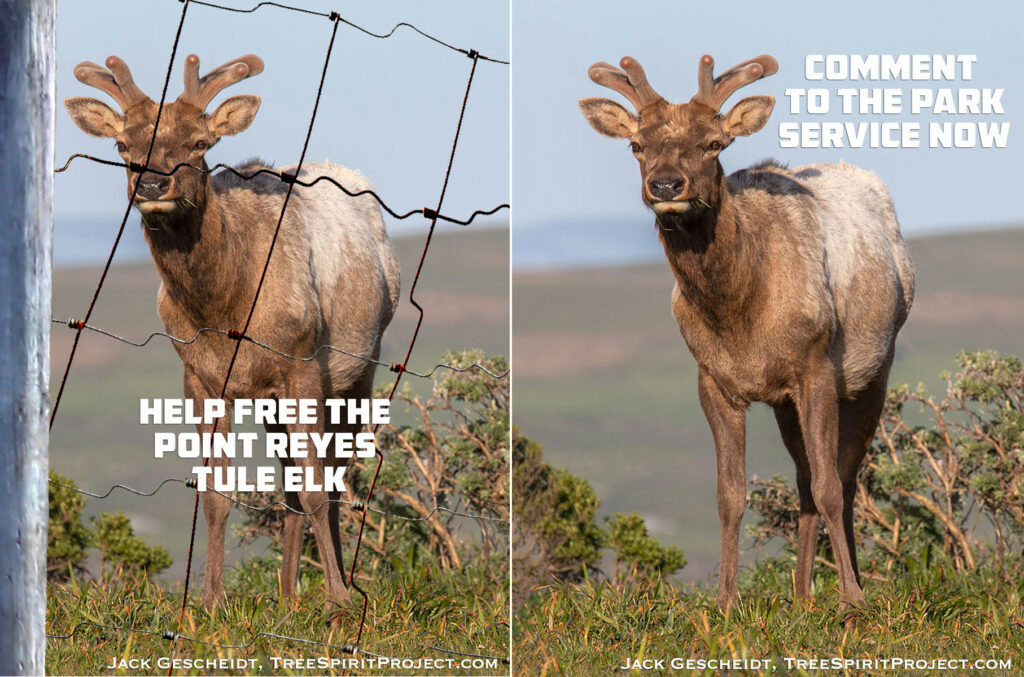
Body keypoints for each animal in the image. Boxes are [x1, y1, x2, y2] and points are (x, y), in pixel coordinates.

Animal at [66, 55, 401, 618]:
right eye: (122, 146)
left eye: (200, 143)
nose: (152, 186)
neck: (226, 311)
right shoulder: (200, 377)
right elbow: (217, 494)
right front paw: (208, 603)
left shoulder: (302, 361)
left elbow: (317, 488)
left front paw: (338, 601)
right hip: (274, 400)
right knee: (291, 484)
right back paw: (287, 594)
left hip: (359, 369)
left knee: (335, 476)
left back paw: (337, 589)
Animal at [581, 55, 917, 610]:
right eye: (636, 145)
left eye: (714, 143)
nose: (667, 185)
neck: (739, 317)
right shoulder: (714, 380)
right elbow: (730, 494)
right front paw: (724, 602)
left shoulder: (816, 366)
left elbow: (830, 486)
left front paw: (853, 602)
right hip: (785, 403)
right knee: (803, 481)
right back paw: (801, 595)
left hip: (875, 370)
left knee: (842, 479)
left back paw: (845, 587)